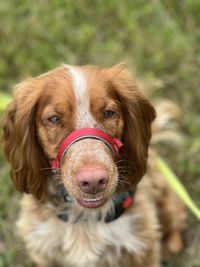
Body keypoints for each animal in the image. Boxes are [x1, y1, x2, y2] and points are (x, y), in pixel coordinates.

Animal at [2, 65, 187, 267]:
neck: (85, 218)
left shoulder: (143, 250)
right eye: (54, 119)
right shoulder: (43, 252)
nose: (93, 180)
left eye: (108, 113)